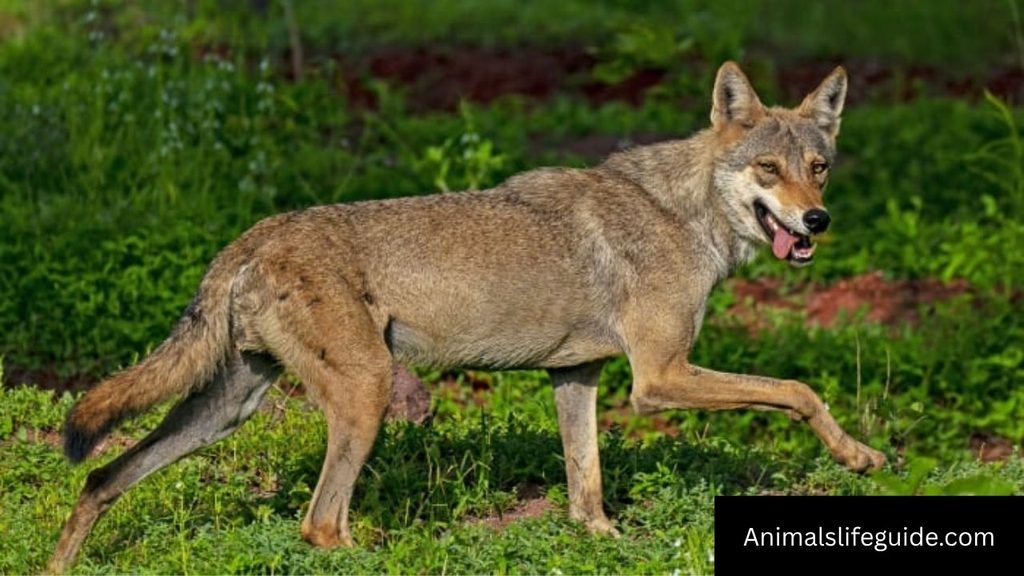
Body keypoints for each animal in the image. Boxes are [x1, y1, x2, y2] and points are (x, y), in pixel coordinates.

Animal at [48, 61, 885, 572]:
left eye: (819, 168)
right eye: (768, 169)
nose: (816, 221)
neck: (683, 215)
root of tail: (252, 235)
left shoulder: (577, 378)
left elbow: (587, 491)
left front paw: (605, 543)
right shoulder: (657, 379)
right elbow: (798, 391)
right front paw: (859, 457)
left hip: (226, 411)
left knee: (102, 478)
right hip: (365, 396)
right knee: (321, 526)